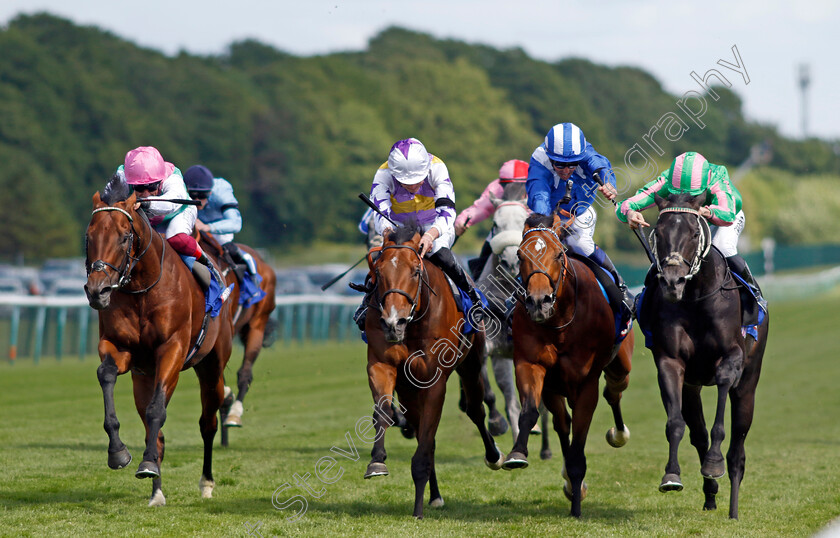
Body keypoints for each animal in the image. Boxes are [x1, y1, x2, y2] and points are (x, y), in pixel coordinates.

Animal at [84, 174, 233, 504]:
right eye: (89, 236)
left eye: (124, 236)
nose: (97, 290)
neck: (142, 287)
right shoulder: (119, 348)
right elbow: (105, 374)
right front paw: (118, 453)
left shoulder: (172, 350)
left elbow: (157, 411)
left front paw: (147, 463)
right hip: (144, 377)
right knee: (158, 432)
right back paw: (157, 492)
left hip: (211, 366)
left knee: (208, 423)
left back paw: (206, 483)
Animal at [364, 224, 502, 516]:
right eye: (378, 271)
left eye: (416, 271)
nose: (393, 322)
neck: (415, 321)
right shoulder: (382, 364)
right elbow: (384, 411)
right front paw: (377, 461)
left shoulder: (435, 380)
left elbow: (428, 439)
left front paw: (417, 510)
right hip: (408, 388)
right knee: (421, 432)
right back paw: (435, 494)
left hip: (471, 364)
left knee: (475, 410)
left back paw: (494, 456)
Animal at [502, 210, 632, 516]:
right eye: (521, 254)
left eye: (559, 255)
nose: (539, 302)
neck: (561, 321)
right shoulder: (531, 365)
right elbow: (530, 411)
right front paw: (517, 453)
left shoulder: (586, 384)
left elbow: (580, 439)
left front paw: (576, 506)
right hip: (555, 389)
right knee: (563, 423)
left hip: (621, 362)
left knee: (614, 389)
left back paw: (619, 434)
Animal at [640, 192, 772, 516]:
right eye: (658, 232)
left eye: (693, 232)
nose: (672, 282)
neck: (696, 298)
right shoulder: (671, 362)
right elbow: (676, 423)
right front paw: (671, 475)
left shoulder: (732, 357)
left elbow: (723, 397)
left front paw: (714, 462)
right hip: (692, 387)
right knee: (697, 433)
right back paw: (710, 495)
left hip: (749, 384)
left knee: (738, 448)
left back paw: (732, 508)